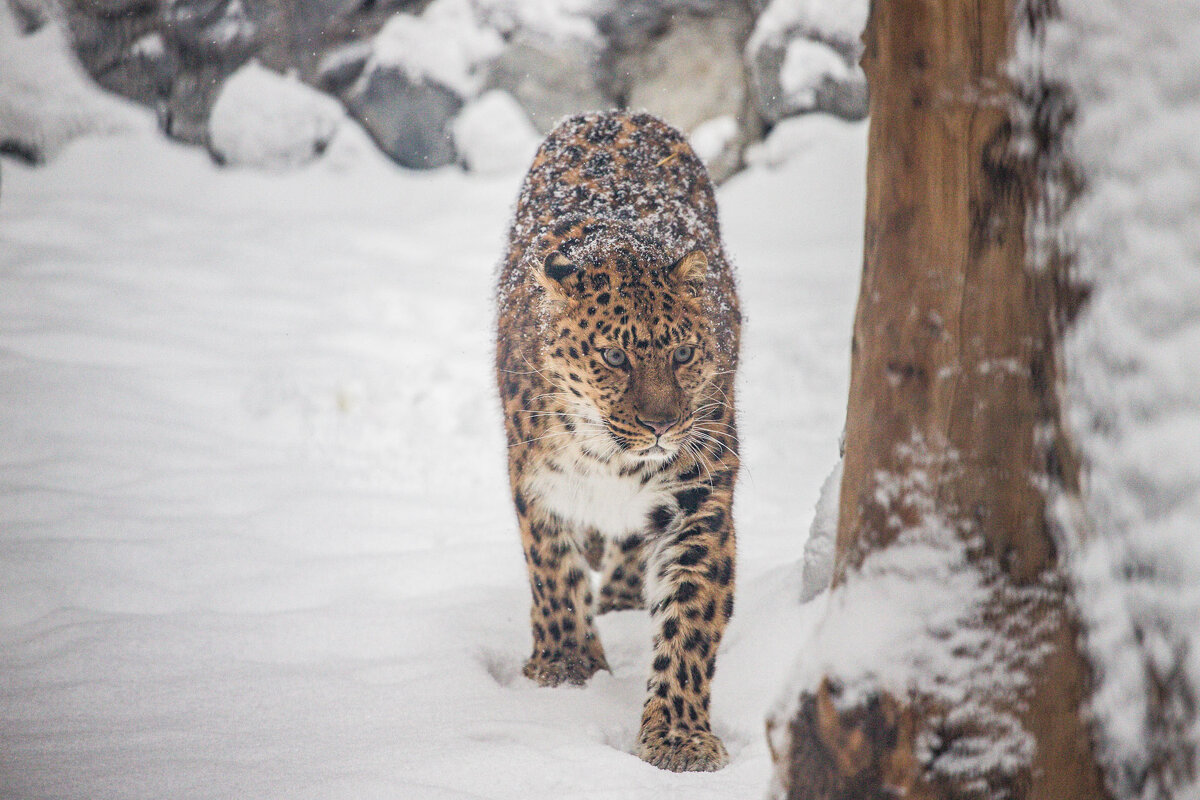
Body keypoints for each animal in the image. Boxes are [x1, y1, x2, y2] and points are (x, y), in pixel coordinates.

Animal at [489, 109, 739, 772]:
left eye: (683, 354)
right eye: (614, 357)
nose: (661, 425)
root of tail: (617, 113)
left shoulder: (701, 493)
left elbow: (689, 618)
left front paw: (678, 736)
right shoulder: (537, 478)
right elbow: (552, 571)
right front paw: (567, 666)